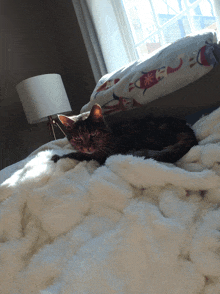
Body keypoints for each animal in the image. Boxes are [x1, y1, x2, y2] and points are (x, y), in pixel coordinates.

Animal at [51, 104, 198, 165]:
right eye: (77, 138)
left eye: (93, 134)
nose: (87, 148)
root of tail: (187, 129)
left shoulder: (101, 155)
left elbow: (76, 155)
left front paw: (56, 157)